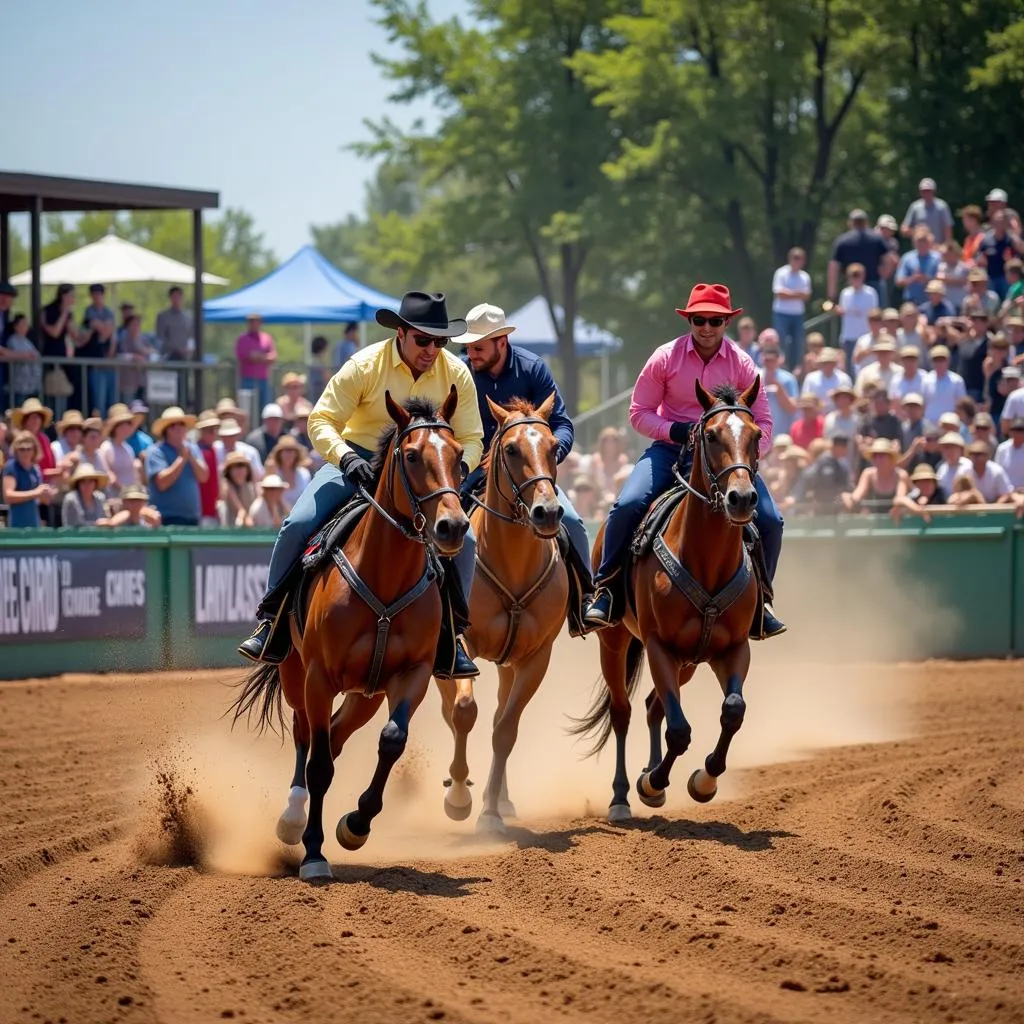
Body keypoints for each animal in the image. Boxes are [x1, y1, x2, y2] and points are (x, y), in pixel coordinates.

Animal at [229, 385, 468, 880]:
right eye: (411, 456)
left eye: (459, 456)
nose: (452, 526)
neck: (384, 576)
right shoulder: (320, 677)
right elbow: (318, 765)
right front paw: (314, 853)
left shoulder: (413, 675)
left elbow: (392, 741)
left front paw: (355, 825)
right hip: (295, 677)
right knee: (307, 738)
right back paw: (291, 818)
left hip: (365, 694)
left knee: (336, 737)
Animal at [438, 395, 573, 835]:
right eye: (511, 449)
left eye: (553, 446)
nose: (548, 512)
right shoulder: (460, 647)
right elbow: (464, 712)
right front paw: (458, 799)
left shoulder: (535, 658)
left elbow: (504, 731)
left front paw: (490, 812)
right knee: (451, 712)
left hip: (508, 665)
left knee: (498, 714)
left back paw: (501, 799)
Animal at [573, 382, 765, 823]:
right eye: (710, 435)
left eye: (756, 435)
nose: (742, 498)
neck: (706, 560)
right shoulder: (659, 645)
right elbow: (679, 730)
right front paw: (652, 782)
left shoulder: (733, 649)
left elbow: (733, 710)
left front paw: (703, 781)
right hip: (615, 644)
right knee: (624, 712)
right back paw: (623, 795)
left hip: (688, 663)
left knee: (652, 707)